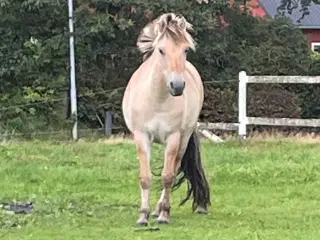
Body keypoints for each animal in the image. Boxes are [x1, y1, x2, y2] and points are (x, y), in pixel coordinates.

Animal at [122, 12, 210, 226]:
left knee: (174, 168)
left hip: (183, 139)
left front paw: (163, 215)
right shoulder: (142, 136)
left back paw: (162, 209)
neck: (157, 100)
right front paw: (143, 216)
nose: (177, 86)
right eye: (161, 50)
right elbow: (145, 178)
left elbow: (168, 176)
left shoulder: (173, 137)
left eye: (185, 49)